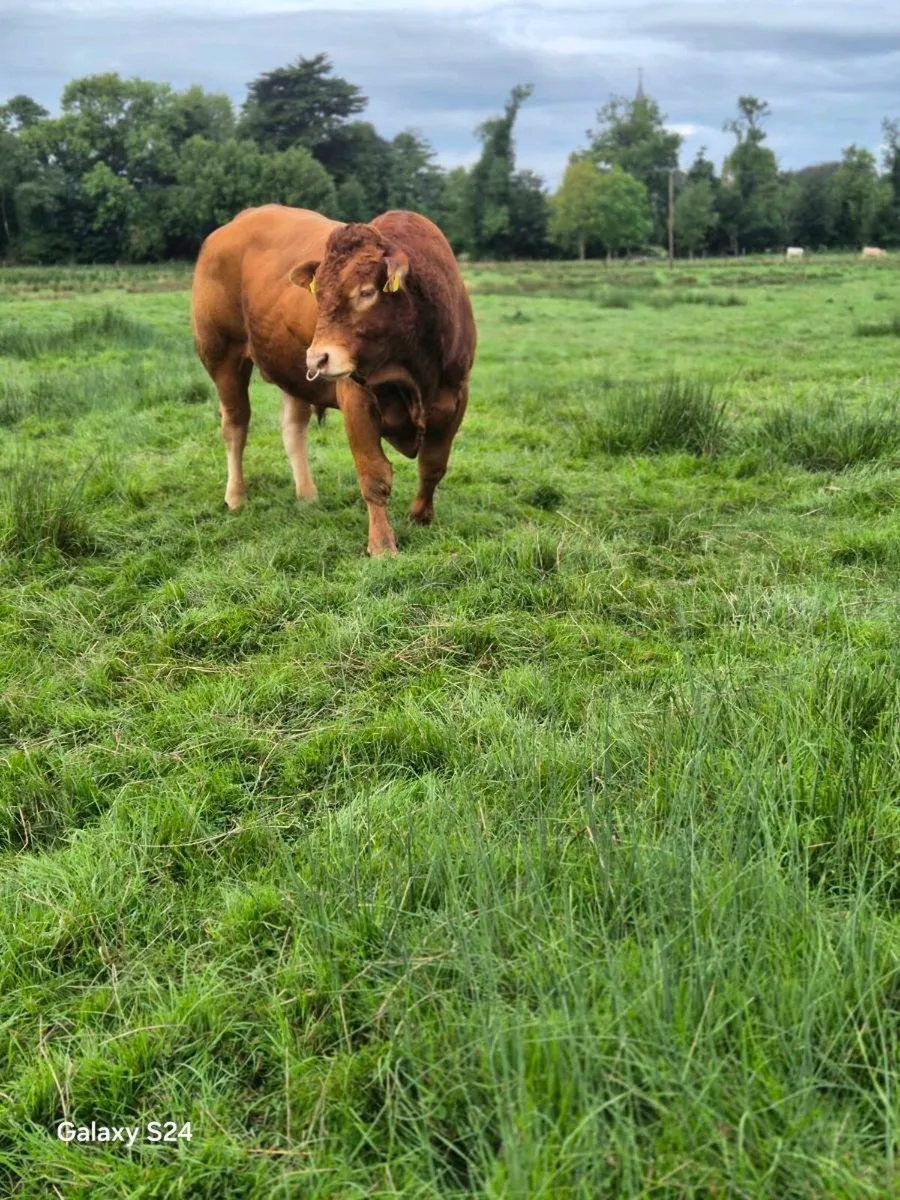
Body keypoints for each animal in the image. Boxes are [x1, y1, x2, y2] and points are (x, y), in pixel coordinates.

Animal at [191, 204, 476, 556]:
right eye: (319, 296)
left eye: (366, 292)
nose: (317, 358)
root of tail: (238, 221)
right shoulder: (357, 399)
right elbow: (373, 475)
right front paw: (382, 545)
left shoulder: (455, 397)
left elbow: (433, 465)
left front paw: (421, 516)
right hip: (222, 357)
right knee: (235, 426)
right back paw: (236, 496)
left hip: (288, 368)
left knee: (292, 428)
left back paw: (307, 494)